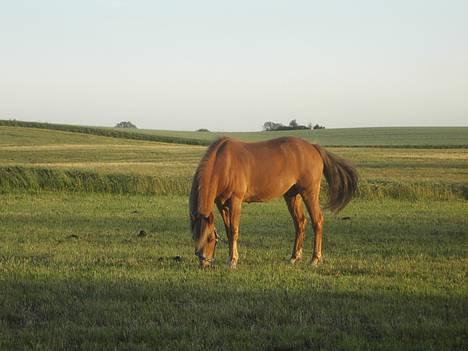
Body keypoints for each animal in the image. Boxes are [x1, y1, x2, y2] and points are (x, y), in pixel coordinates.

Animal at [188, 136, 356, 268]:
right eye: (195, 238)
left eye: (210, 238)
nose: (204, 263)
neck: (224, 163)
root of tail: (313, 148)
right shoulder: (221, 203)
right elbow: (228, 230)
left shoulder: (235, 200)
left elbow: (234, 230)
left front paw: (233, 261)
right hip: (292, 196)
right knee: (300, 222)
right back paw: (294, 257)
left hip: (309, 193)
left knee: (317, 221)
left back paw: (315, 259)